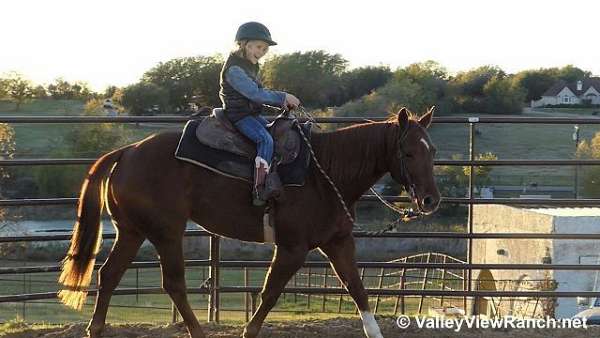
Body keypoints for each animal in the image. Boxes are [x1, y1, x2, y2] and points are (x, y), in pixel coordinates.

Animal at [56, 108, 440, 338]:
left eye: (432, 150)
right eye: (408, 152)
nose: (430, 201)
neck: (325, 173)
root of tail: (127, 152)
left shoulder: (339, 243)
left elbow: (358, 289)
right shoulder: (292, 248)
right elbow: (270, 293)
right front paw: (248, 331)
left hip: (133, 232)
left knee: (110, 275)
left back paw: (96, 329)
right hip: (167, 233)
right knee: (173, 284)